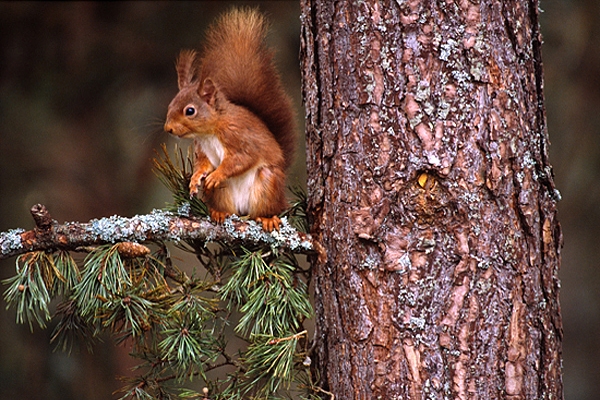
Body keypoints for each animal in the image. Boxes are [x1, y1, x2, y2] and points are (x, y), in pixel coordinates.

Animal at [163, 8, 296, 231]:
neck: (210, 132)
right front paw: (195, 178)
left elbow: (242, 159)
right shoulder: (202, 149)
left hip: (267, 185)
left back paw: (267, 218)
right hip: (222, 193)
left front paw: (217, 174)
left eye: (190, 111)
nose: (168, 129)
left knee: (264, 209)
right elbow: (203, 164)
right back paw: (218, 212)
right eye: (170, 105)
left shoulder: (239, 136)